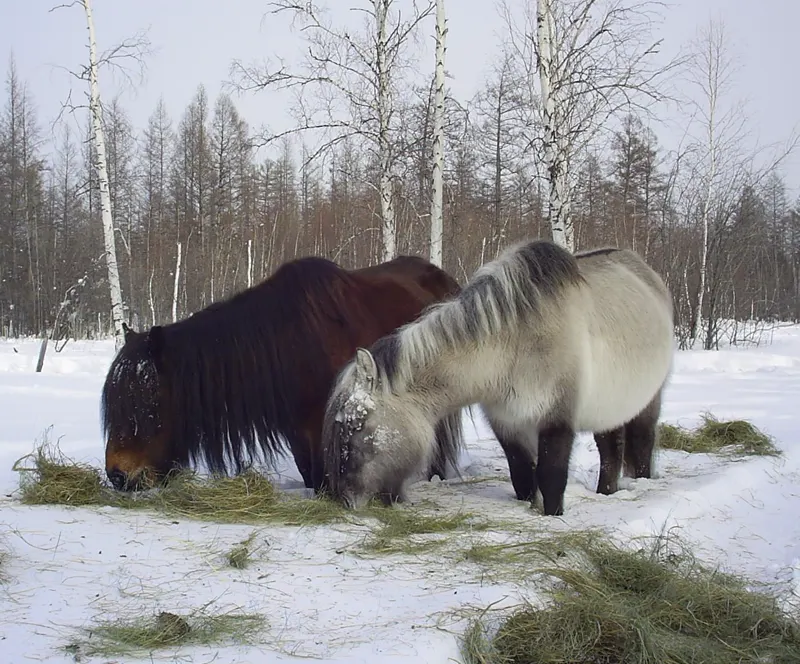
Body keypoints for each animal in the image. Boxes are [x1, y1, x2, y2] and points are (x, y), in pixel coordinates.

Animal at [321, 239, 675, 516]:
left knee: (642, 443)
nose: (344, 499)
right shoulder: (507, 423)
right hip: (609, 408)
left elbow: (551, 477)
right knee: (611, 451)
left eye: (358, 426)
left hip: (649, 402)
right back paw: (606, 492)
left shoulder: (557, 421)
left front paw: (553, 517)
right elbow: (522, 477)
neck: (514, 346)